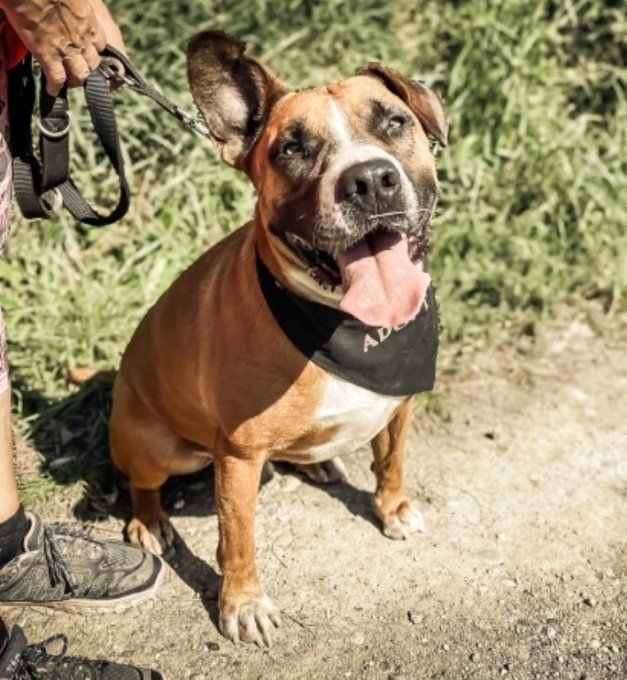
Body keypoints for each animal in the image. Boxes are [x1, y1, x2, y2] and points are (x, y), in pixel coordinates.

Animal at [110, 30, 448, 648]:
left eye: (394, 122)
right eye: (292, 149)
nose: (370, 180)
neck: (346, 324)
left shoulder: (400, 403)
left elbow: (391, 462)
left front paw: (393, 508)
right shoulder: (239, 456)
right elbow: (238, 539)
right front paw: (242, 604)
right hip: (155, 443)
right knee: (142, 484)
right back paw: (149, 522)